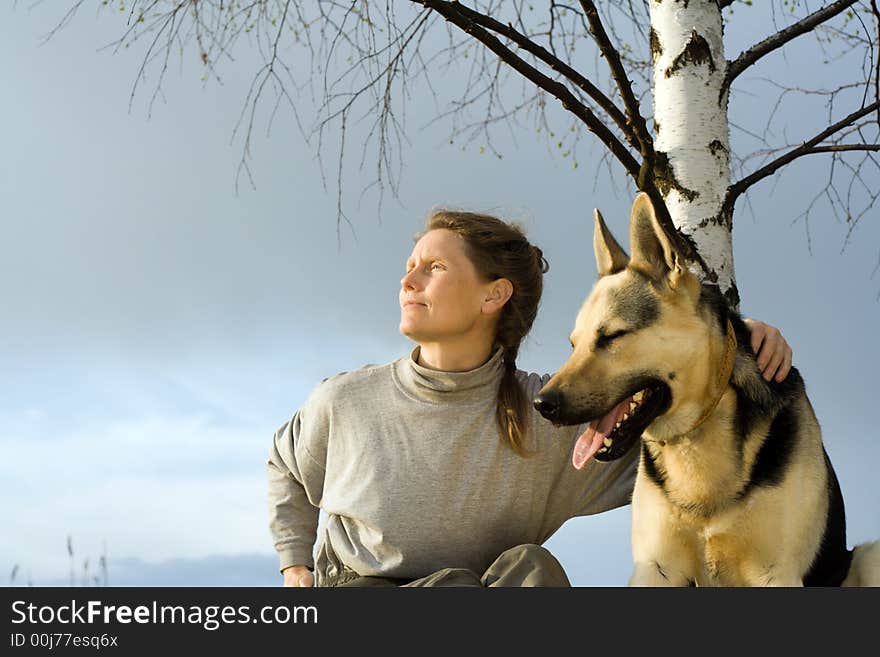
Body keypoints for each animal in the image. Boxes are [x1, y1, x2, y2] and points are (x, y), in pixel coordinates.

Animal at [532, 193, 880, 584]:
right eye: (573, 344)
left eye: (611, 336)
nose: (541, 404)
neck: (694, 439)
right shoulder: (655, 568)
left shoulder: (776, 574)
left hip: (871, 555)